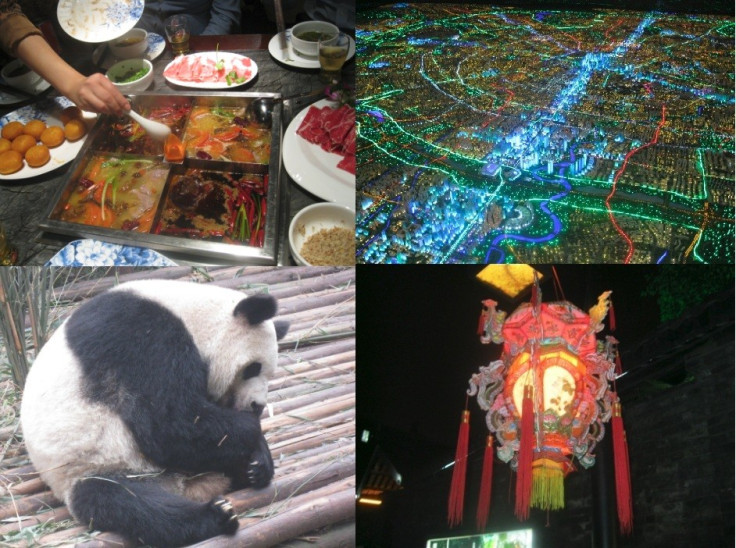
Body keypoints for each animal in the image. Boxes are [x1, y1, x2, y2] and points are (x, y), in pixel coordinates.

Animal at [20, 280, 290, 544]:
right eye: (253, 368)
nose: (257, 406)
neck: (191, 315)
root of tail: (184, 487)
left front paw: (258, 462)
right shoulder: (139, 335)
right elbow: (171, 426)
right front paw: (252, 430)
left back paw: (248, 475)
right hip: (89, 467)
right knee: (131, 504)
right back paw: (217, 516)